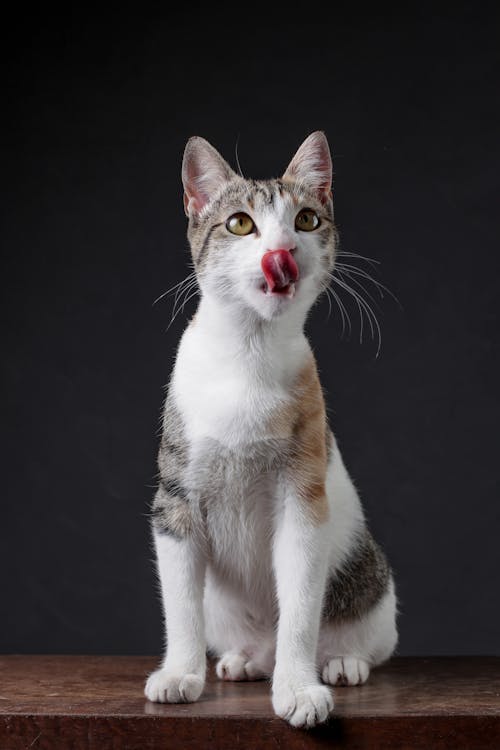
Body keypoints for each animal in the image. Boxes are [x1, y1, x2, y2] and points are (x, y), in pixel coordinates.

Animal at [145, 134, 398, 728]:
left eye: (306, 219)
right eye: (240, 224)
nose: (283, 250)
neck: (249, 355)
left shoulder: (303, 497)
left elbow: (301, 607)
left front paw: (299, 689)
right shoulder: (174, 502)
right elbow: (181, 604)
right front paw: (180, 673)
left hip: (374, 585)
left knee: (365, 640)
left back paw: (341, 663)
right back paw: (244, 661)